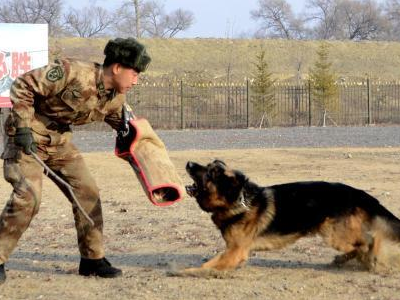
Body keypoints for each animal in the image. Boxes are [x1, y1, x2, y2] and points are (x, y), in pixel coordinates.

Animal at [184, 161, 400, 274]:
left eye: (211, 173)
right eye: (208, 167)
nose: (189, 163)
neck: (239, 200)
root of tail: (355, 192)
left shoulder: (236, 251)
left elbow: (206, 266)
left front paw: (185, 271)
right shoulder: (233, 252)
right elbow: (210, 263)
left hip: (333, 233)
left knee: (369, 240)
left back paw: (370, 260)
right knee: (362, 245)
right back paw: (346, 260)